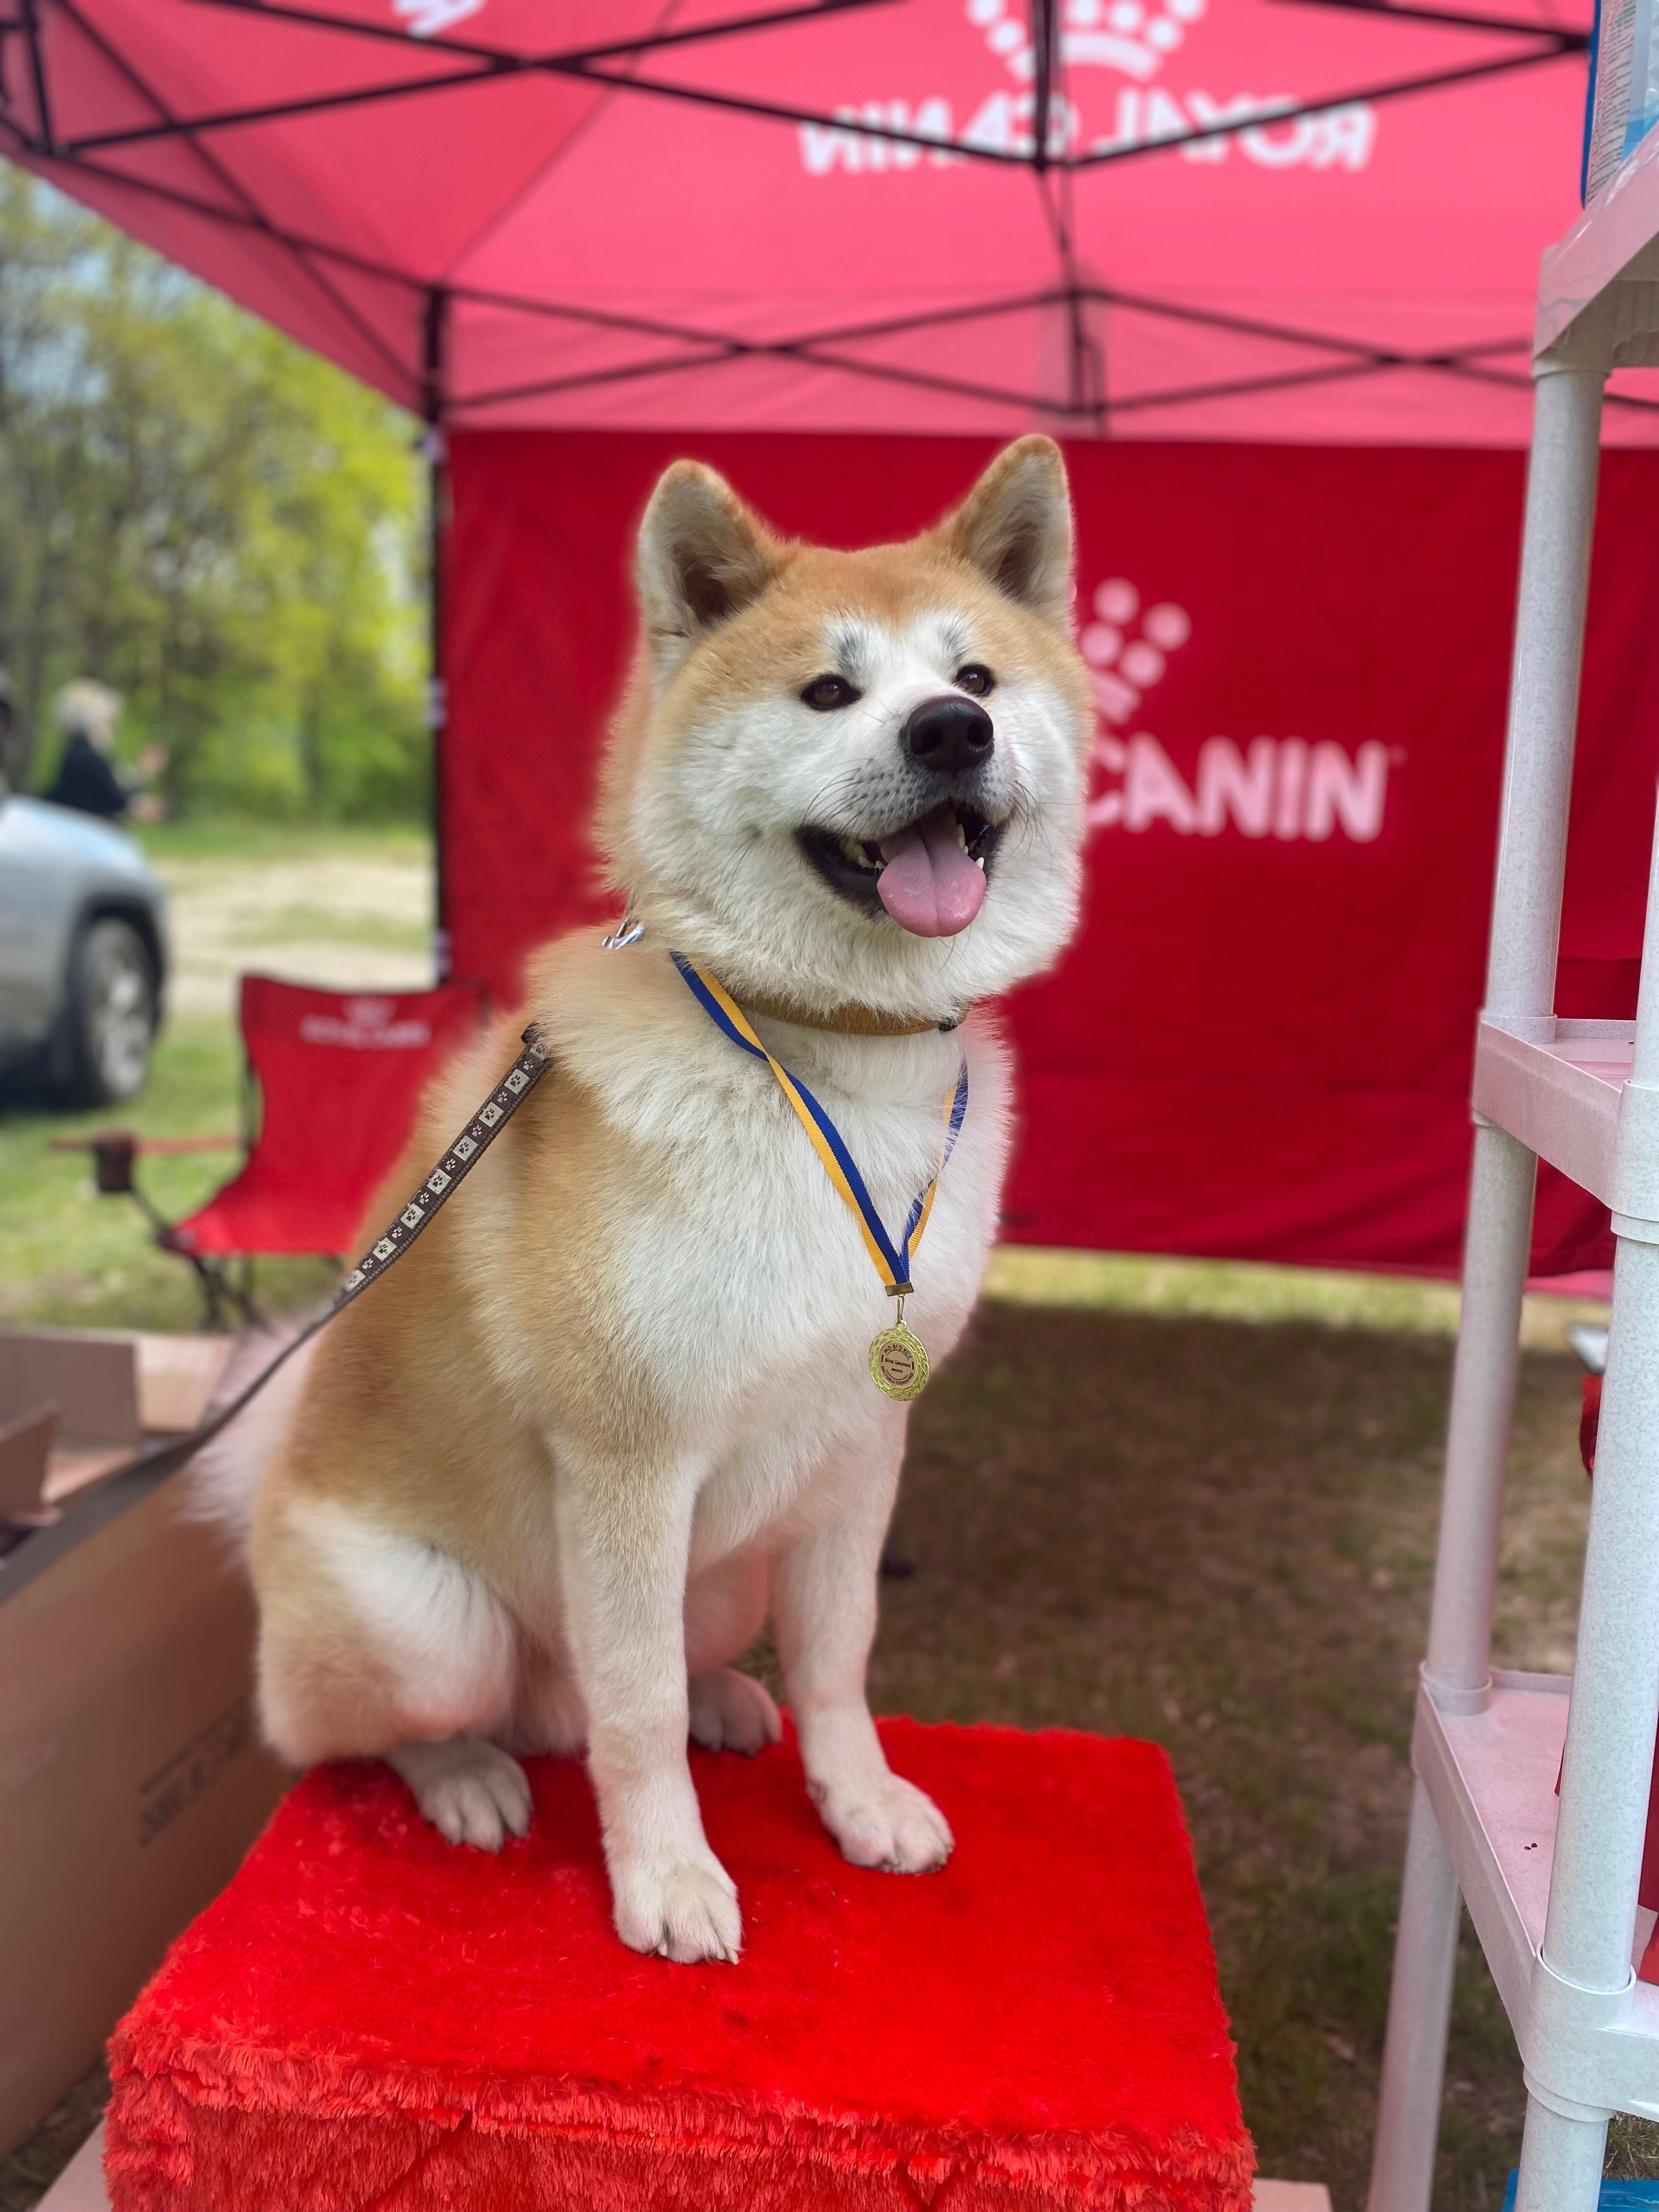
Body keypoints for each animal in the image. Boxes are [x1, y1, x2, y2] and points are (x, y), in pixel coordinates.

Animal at [215, 440, 1097, 1964]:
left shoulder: (858, 1446)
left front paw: (855, 1799)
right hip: (430, 1619)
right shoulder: (626, 1461)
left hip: (724, 1568)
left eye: (976, 678)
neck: (824, 1061)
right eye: (828, 692)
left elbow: (841, 1657)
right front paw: (668, 1877)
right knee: (414, 1728)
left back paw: (727, 1703)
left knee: (651, 1677)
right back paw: (469, 1775)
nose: (950, 735)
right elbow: (629, 1717)